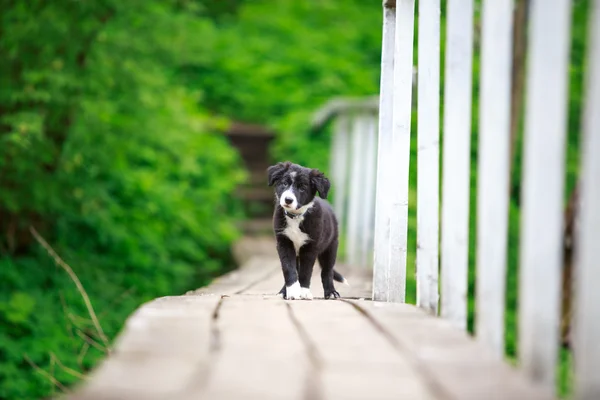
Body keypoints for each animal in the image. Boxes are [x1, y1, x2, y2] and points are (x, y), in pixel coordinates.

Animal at [266, 161, 346, 298]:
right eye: (284, 184)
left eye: (302, 188)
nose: (288, 200)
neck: (296, 217)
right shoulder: (284, 243)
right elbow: (288, 268)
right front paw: (292, 291)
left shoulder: (310, 247)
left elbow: (306, 271)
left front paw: (303, 292)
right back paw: (283, 291)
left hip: (331, 246)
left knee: (327, 271)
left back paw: (331, 292)